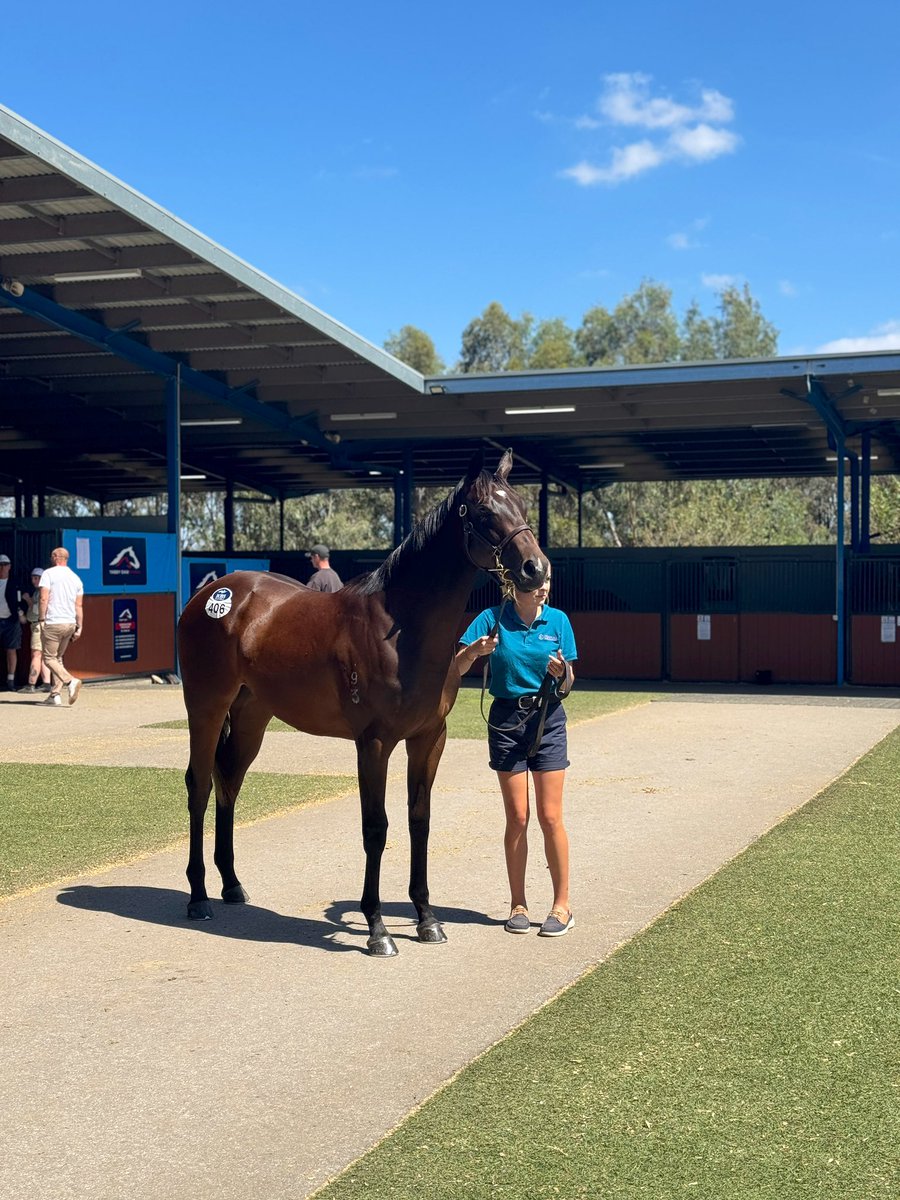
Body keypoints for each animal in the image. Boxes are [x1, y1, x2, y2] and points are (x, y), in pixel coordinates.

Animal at [177, 449, 548, 956]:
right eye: (486, 513)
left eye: (523, 507)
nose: (536, 569)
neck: (401, 631)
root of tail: (210, 594)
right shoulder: (373, 743)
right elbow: (377, 828)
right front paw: (377, 929)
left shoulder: (428, 739)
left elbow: (418, 821)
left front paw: (427, 919)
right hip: (207, 708)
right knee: (200, 786)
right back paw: (198, 896)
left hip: (252, 715)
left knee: (228, 781)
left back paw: (231, 884)